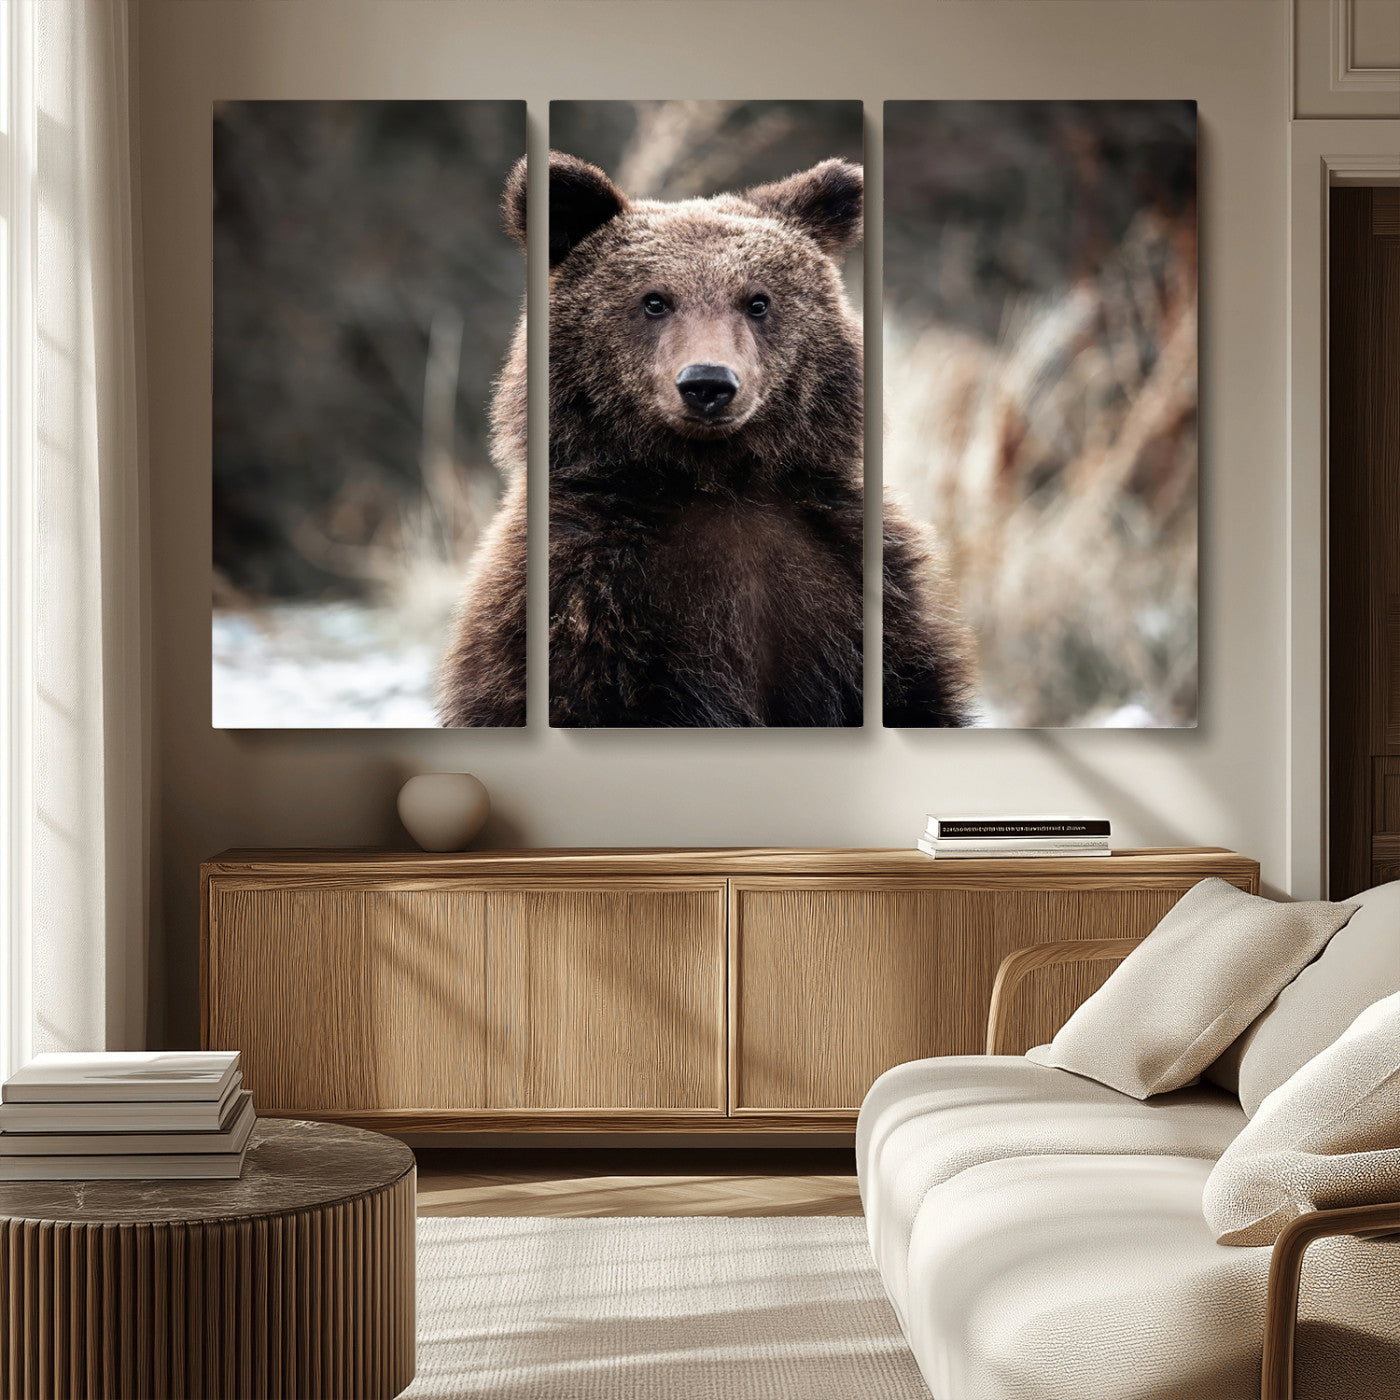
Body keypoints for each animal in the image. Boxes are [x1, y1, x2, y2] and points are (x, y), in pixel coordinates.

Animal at [438, 151, 973, 728]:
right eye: (654, 301)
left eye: (757, 301)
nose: (708, 383)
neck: (715, 479)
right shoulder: (583, 599)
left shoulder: (855, 587)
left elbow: (911, 693)